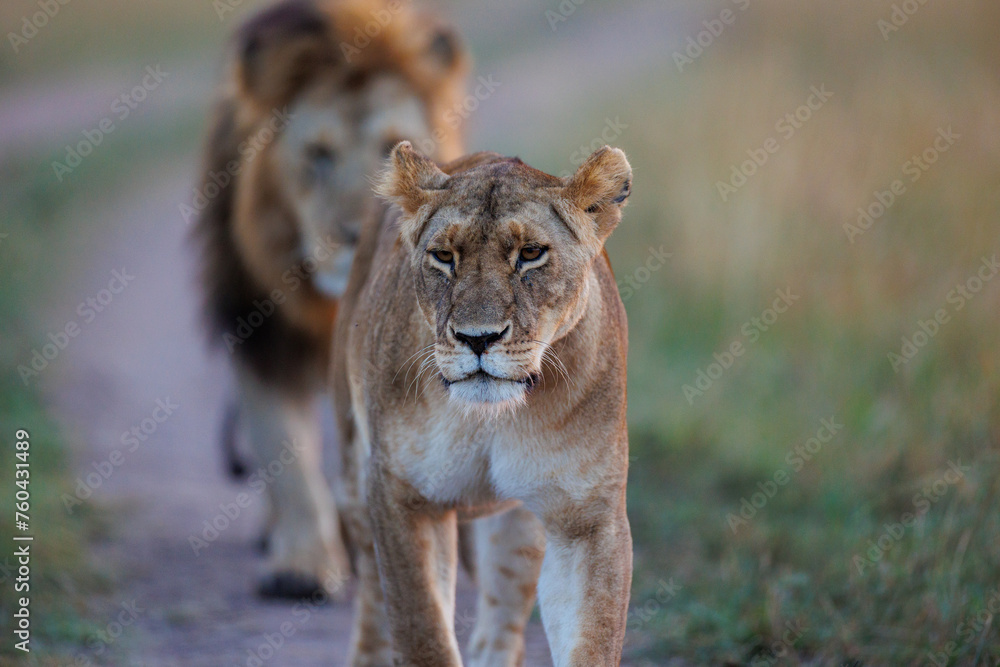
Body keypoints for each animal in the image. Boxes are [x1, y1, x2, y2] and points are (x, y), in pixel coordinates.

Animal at [194, 0, 468, 599]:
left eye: (394, 150)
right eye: (318, 155)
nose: (354, 233)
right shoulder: (260, 335)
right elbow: (285, 453)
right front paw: (302, 565)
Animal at [332, 142, 634, 665]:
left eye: (530, 254)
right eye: (443, 256)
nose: (478, 338)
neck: (489, 418)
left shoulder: (589, 517)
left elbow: (592, 640)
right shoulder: (404, 497)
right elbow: (423, 633)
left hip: (515, 527)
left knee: (500, 625)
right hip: (354, 478)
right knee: (371, 591)